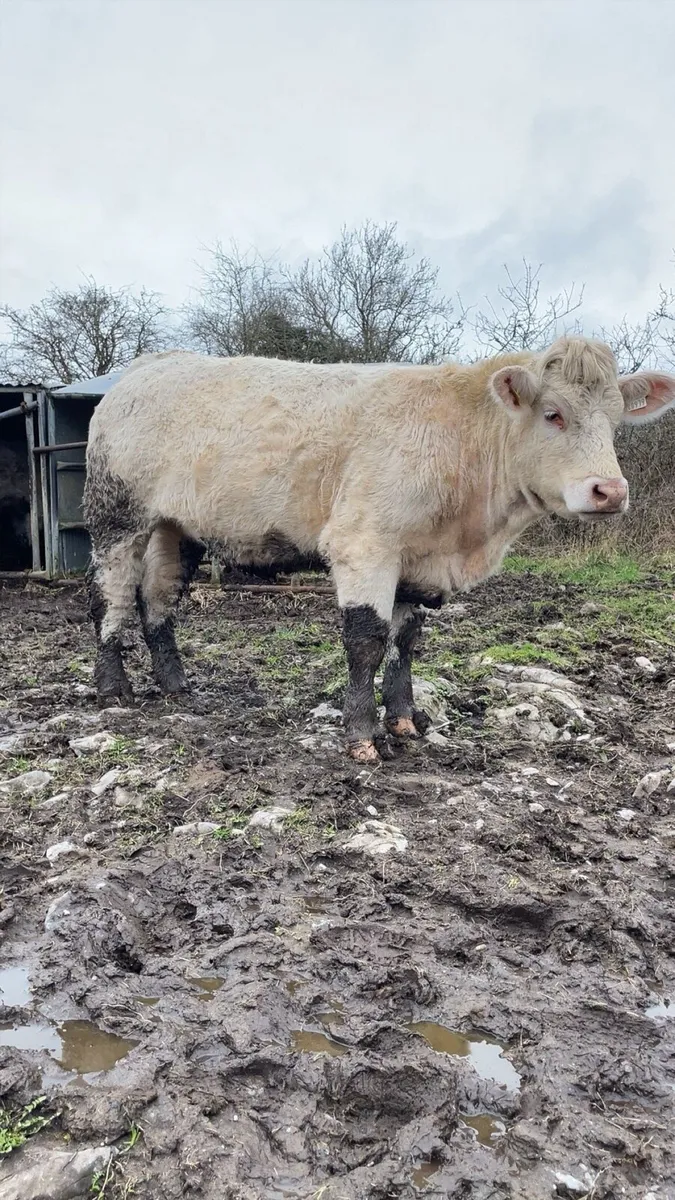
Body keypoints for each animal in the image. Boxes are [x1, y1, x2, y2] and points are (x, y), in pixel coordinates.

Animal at [83, 339, 675, 762]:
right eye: (553, 413)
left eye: (616, 420)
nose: (610, 491)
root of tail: (150, 366)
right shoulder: (365, 543)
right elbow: (366, 642)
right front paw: (363, 734)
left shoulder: (417, 559)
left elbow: (404, 641)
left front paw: (405, 719)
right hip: (117, 518)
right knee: (110, 599)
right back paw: (114, 690)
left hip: (174, 529)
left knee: (157, 602)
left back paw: (176, 687)